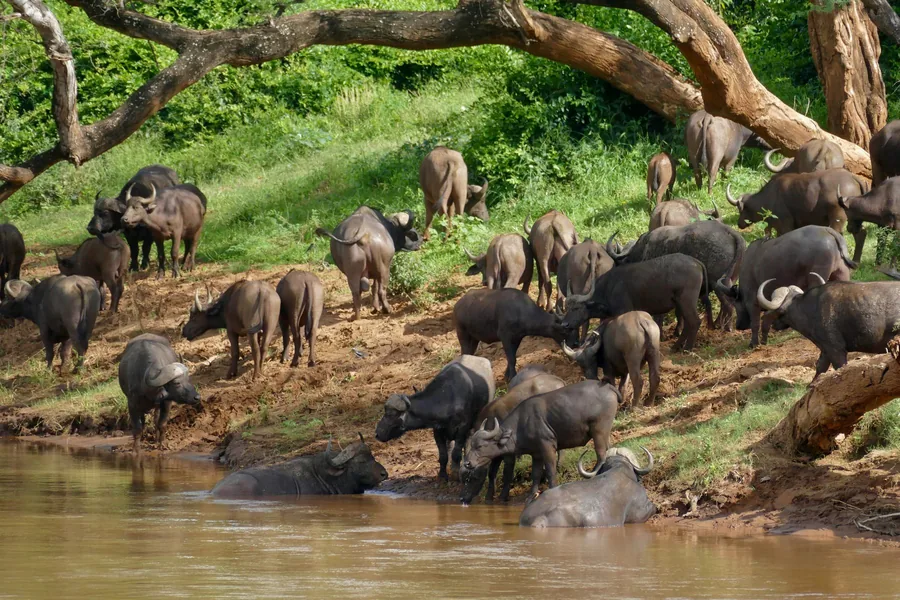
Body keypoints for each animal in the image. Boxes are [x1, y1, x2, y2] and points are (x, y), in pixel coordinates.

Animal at [460, 366, 565, 504]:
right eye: (462, 478)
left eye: (472, 477)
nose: (462, 499)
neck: (491, 420)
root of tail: (559, 381)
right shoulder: (495, 453)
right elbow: (492, 473)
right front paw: (489, 497)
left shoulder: (508, 452)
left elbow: (507, 472)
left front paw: (503, 496)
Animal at [463, 380, 620, 497]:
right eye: (473, 444)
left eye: (480, 446)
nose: (467, 463)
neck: (522, 424)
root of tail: (608, 386)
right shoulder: (536, 454)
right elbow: (536, 475)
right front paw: (531, 497)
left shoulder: (547, 446)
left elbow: (550, 471)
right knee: (608, 449)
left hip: (599, 430)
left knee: (601, 454)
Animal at [562, 253, 705, 351]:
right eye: (567, 307)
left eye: (576, 308)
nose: (564, 324)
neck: (608, 287)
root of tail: (696, 262)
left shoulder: (624, 311)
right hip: (681, 303)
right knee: (688, 323)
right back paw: (675, 347)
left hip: (686, 300)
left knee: (695, 321)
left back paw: (687, 348)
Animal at [716, 226, 856, 347]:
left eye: (735, 303)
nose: (738, 326)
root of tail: (828, 231)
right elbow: (767, 320)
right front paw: (764, 341)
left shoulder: (752, 302)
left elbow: (755, 323)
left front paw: (754, 344)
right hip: (841, 274)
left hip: (817, 278)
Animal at [757, 276, 900, 378]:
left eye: (778, 312)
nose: (773, 325)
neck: (810, 309)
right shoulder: (825, 349)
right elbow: (820, 367)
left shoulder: (836, 349)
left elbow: (839, 367)